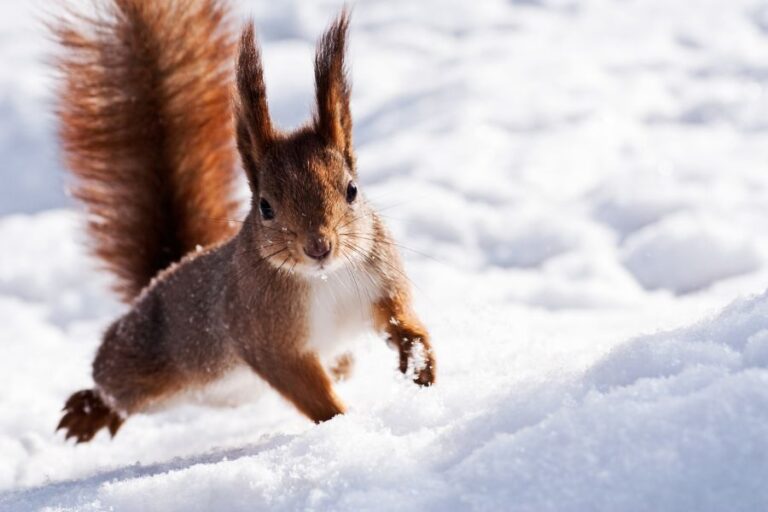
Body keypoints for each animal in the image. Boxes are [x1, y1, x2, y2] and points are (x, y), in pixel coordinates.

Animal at [53, 0, 436, 443]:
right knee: (111, 381)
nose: (318, 246)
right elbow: (307, 389)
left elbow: (402, 319)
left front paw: (420, 364)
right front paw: (342, 421)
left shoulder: (381, 283)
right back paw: (89, 411)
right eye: (266, 207)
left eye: (352, 190)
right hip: (144, 359)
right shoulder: (265, 339)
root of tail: (160, 276)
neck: (324, 279)